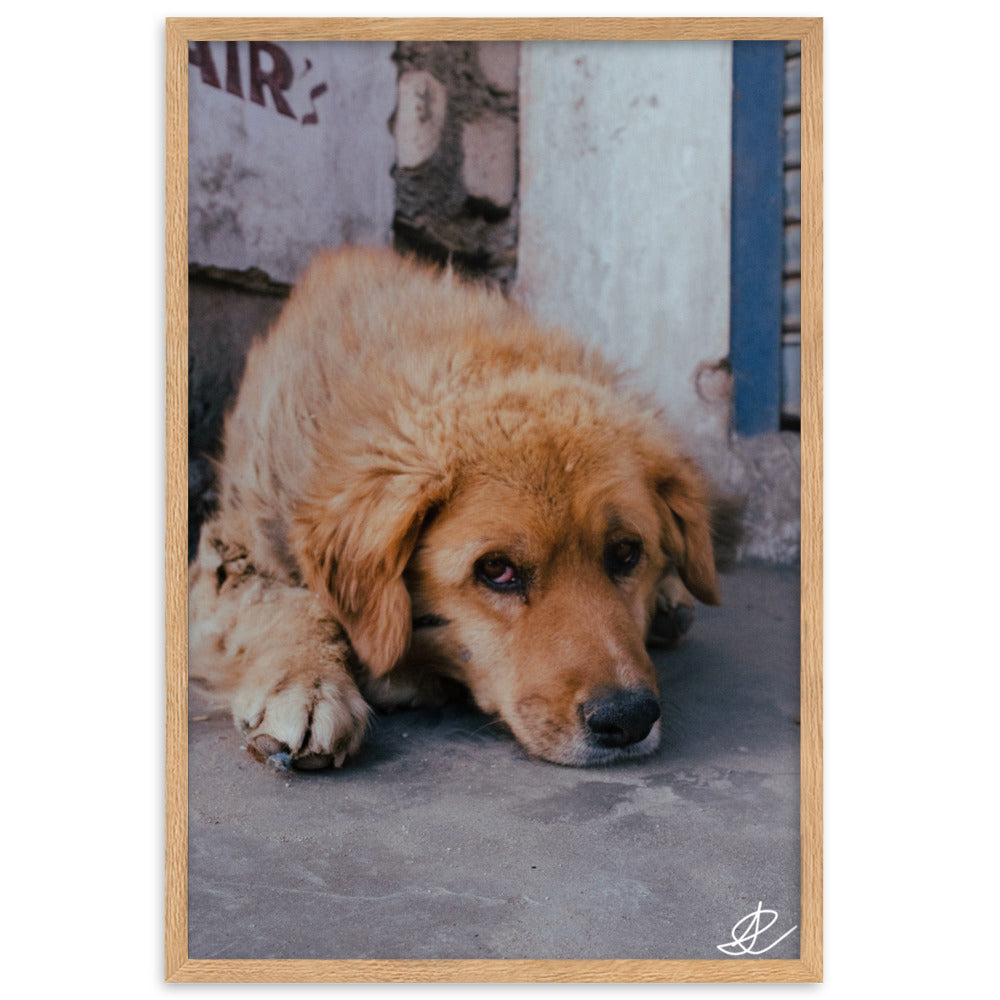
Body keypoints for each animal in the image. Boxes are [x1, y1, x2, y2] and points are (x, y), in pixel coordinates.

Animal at [188, 246, 720, 768]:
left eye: (627, 553)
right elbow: (288, 605)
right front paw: (308, 684)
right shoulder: (229, 555)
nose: (629, 718)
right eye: (497, 570)